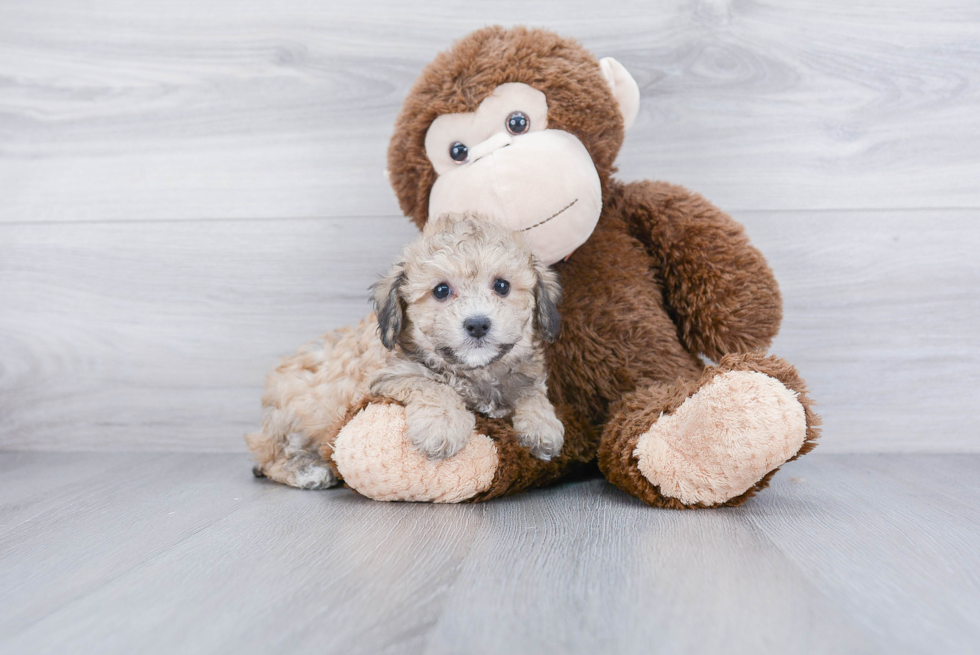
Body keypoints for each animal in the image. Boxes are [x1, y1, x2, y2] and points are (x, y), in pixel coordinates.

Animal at [249, 215, 564, 492]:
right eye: (441, 290)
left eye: (501, 286)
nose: (477, 324)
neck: (476, 372)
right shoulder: (385, 377)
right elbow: (433, 386)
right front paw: (443, 426)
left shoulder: (523, 373)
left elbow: (531, 392)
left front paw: (542, 426)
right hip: (296, 411)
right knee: (270, 457)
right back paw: (308, 471)